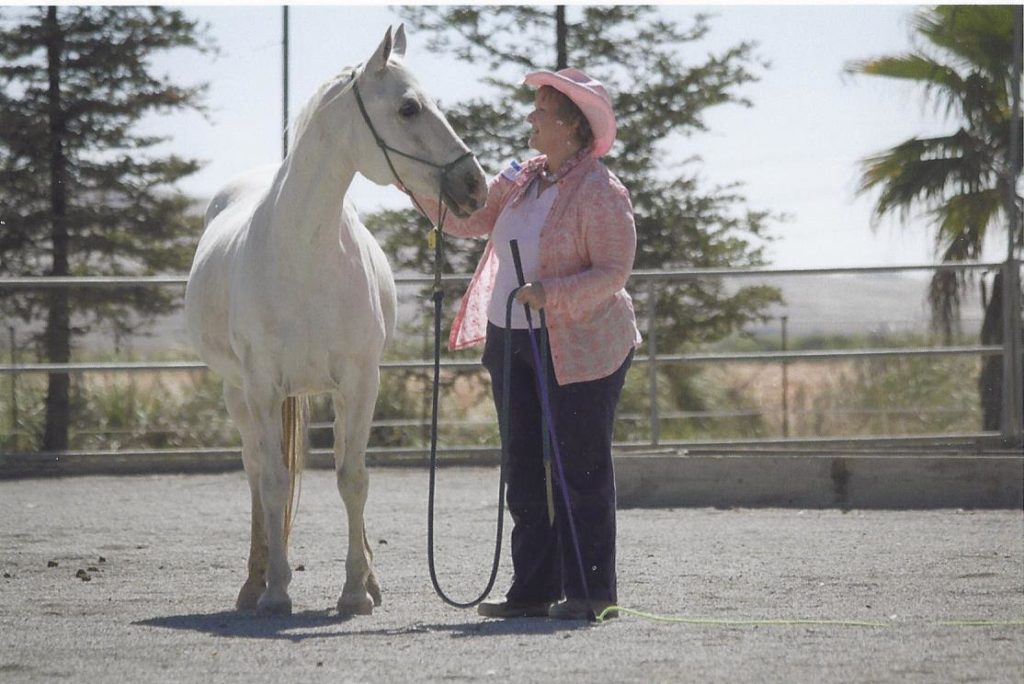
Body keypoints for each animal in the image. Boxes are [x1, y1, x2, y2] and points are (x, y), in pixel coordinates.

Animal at [185, 25, 487, 614]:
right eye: (409, 107)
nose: (474, 185)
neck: (302, 251)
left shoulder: (360, 379)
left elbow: (353, 478)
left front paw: (356, 590)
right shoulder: (260, 387)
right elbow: (275, 482)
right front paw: (277, 590)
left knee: (341, 461)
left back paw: (366, 576)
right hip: (238, 392)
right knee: (255, 470)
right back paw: (254, 582)